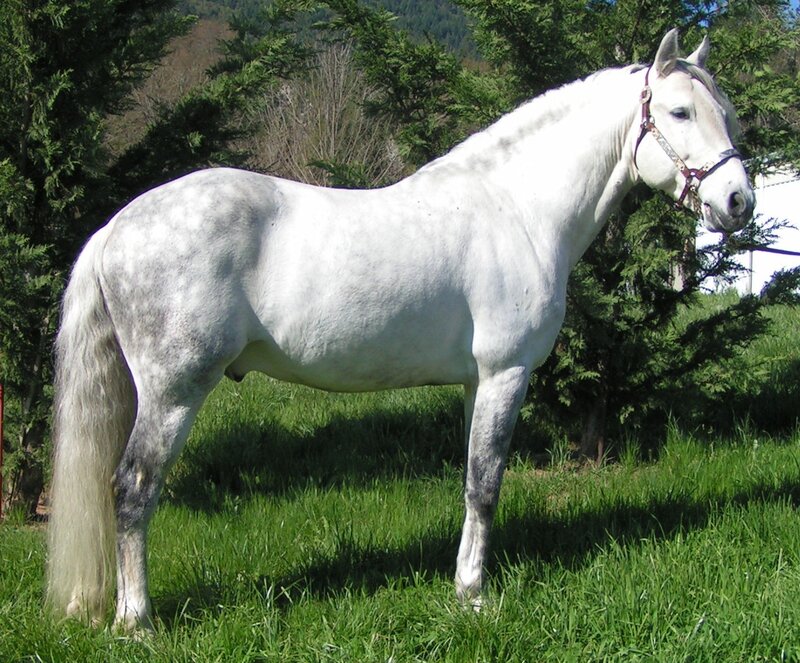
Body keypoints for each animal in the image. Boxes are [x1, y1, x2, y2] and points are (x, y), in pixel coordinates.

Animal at [47, 29, 754, 631]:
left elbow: (473, 480)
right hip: (174, 392)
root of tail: (117, 226)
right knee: (132, 489)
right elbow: (487, 483)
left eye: (725, 111)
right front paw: (473, 595)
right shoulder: (506, 374)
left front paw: (464, 581)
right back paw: (137, 622)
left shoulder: (478, 382)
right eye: (680, 112)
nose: (739, 202)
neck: (518, 208)